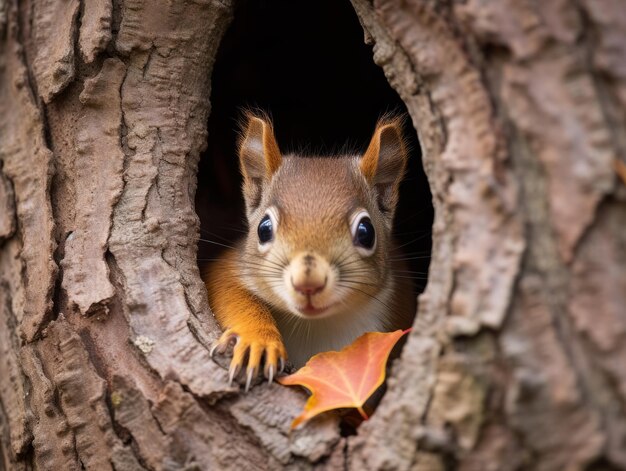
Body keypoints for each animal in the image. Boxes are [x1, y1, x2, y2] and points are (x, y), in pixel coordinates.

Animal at [205, 113, 416, 390]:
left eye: (366, 232)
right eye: (264, 228)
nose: (308, 282)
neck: (313, 325)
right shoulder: (231, 265)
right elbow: (228, 290)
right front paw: (256, 341)